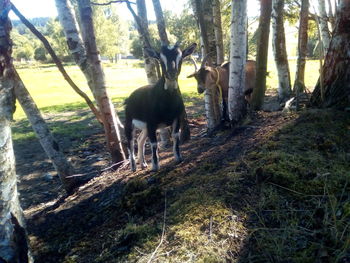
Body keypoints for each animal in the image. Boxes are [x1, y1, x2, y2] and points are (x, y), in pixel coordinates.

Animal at [123, 42, 196, 172]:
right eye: (160, 59)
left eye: (180, 57)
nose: (171, 73)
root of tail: (130, 97)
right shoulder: (151, 122)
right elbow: (154, 143)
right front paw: (155, 167)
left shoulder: (176, 119)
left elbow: (176, 137)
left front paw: (178, 158)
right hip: (129, 121)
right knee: (130, 142)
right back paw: (133, 167)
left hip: (146, 127)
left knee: (140, 140)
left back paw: (143, 164)